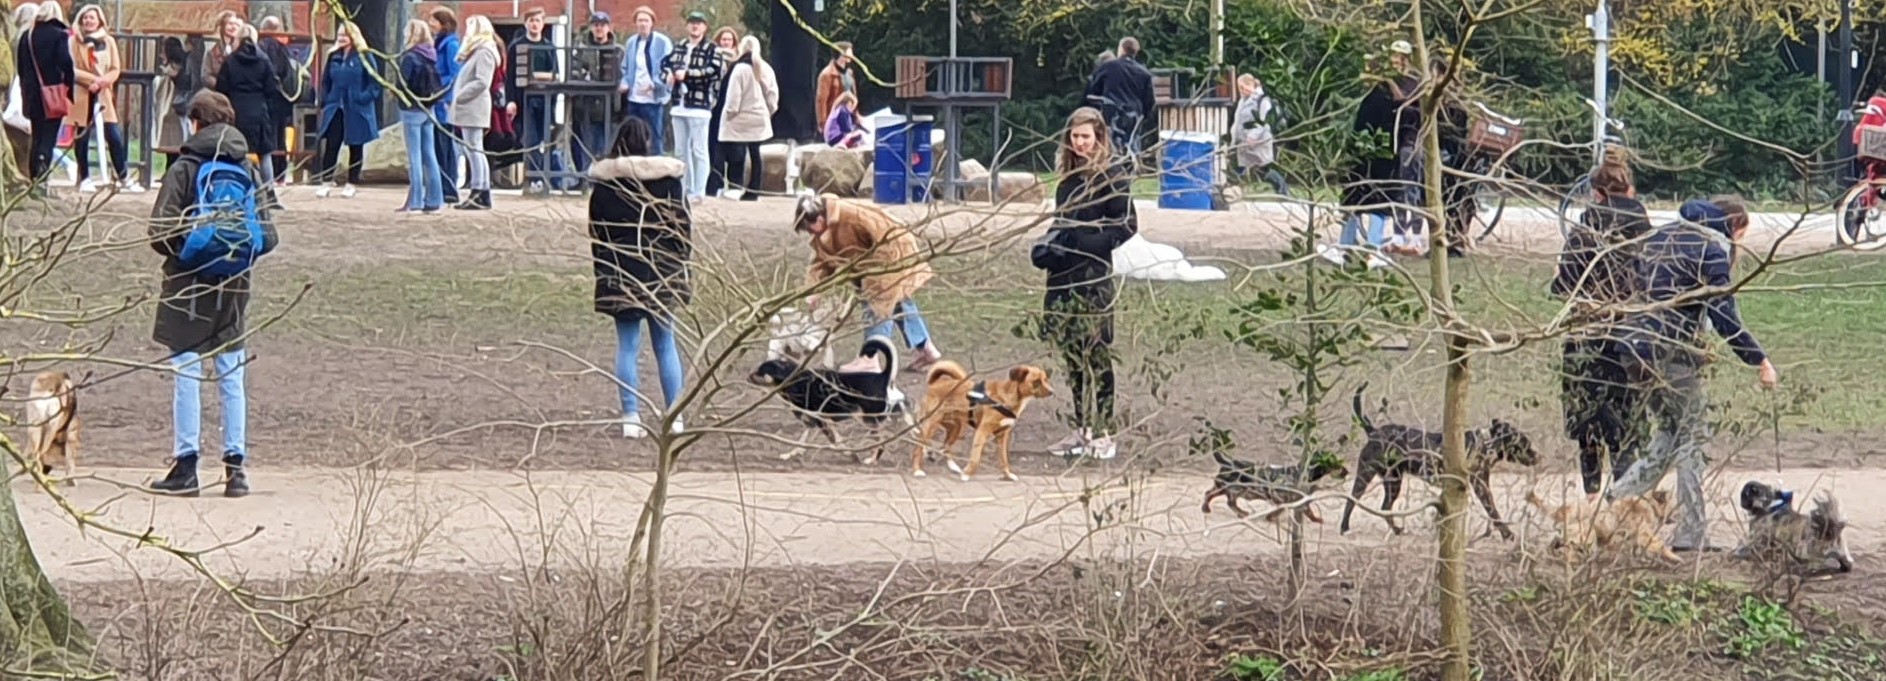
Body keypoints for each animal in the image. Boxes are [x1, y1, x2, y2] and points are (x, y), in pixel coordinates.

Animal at [746, 333, 909, 462]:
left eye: (759, 372)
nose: (747, 376)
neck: (793, 380)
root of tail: (883, 377)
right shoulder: (814, 422)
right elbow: (803, 442)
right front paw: (791, 454)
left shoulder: (821, 421)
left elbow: (835, 441)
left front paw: (850, 454)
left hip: (867, 420)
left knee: (882, 442)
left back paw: (871, 459)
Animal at [909, 360, 1056, 477]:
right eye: (1036, 382)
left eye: (1045, 380)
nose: (1052, 392)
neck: (1008, 397)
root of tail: (934, 383)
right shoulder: (982, 432)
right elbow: (976, 458)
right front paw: (967, 474)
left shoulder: (1002, 436)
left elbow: (1004, 460)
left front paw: (1007, 475)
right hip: (930, 426)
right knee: (918, 448)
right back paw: (917, 470)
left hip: (957, 427)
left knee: (946, 446)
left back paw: (953, 466)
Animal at [1199, 450, 1350, 520]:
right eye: (1337, 464)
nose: (1347, 471)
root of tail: (1227, 462)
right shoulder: (1282, 498)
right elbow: (1284, 509)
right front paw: (1271, 517)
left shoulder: (1300, 501)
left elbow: (1307, 511)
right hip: (1230, 488)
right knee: (1221, 499)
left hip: (1228, 489)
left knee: (1214, 495)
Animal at [1342, 384, 1531, 539]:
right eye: (1522, 440)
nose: (1536, 455)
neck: (1485, 443)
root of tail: (1374, 431)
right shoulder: (1479, 486)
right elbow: (1493, 511)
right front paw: (1507, 534)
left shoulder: (1479, 485)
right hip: (1366, 475)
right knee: (1351, 500)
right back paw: (1344, 528)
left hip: (1393, 481)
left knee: (1385, 507)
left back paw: (1396, 530)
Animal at [1531, 486, 1682, 562]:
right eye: (1672, 505)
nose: (1678, 514)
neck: (1649, 503)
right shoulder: (1644, 532)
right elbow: (1659, 544)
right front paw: (1672, 556)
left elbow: (1635, 547)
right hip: (1587, 538)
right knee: (1570, 549)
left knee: (1559, 544)